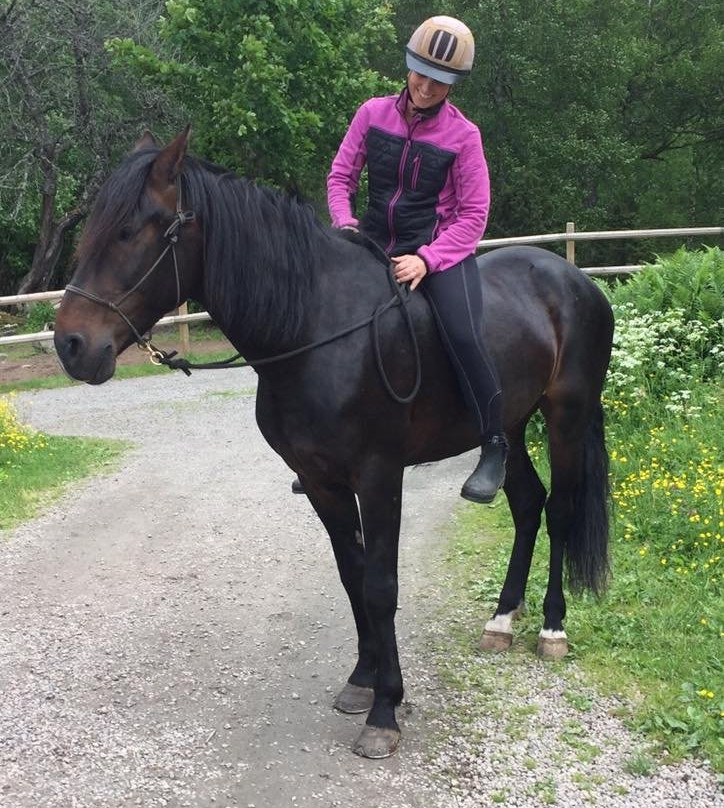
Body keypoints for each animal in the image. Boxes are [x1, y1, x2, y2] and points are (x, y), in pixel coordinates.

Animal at [53, 129, 612, 760]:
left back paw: (551, 627)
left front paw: (385, 711)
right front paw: (363, 679)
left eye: (131, 230)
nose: (71, 345)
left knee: (561, 511)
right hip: (510, 427)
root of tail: (575, 281)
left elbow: (381, 585)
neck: (316, 328)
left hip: (566, 418)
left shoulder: (379, 476)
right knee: (526, 504)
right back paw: (501, 621)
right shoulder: (323, 481)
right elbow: (352, 574)